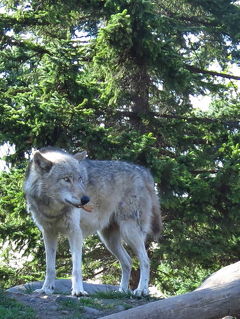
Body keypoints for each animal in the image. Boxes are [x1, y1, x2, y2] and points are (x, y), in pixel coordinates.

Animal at [23, 148, 162, 298]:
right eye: (66, 179)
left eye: (80, 179)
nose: (86, 199)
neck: (53, 210)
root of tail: (143, 171)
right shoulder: (48, 233)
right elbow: (50, 267)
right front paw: (46, 289)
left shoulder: (75, 233)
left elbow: (76, 268)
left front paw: (78, 291)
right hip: (109, 240)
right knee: (128, 261)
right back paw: (122, 291)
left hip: (129, 232)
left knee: (145, 261)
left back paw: (142, 290)